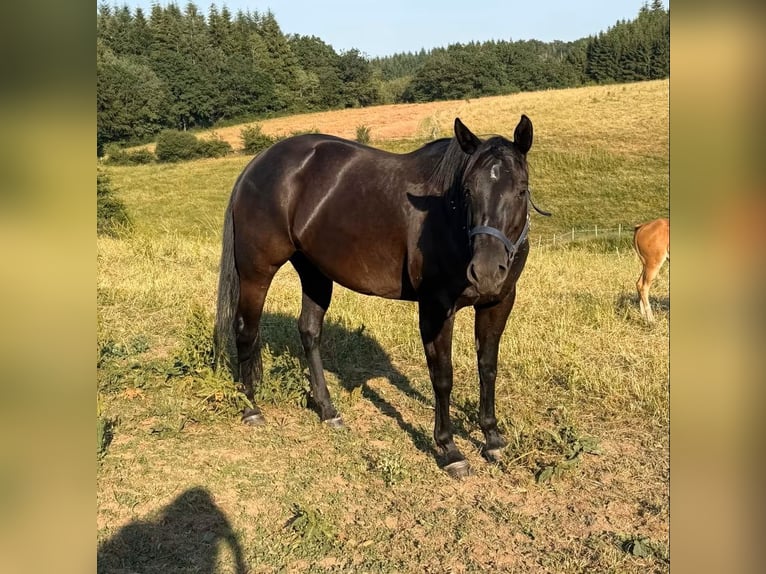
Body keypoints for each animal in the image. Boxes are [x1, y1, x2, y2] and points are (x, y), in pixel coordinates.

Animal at [214, 116, 550, 478]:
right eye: (468, 191)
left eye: (521, 189)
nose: (486, 270)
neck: (448, 218)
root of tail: (257, 164)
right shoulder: (435, 309)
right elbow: (442, 376)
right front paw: (449, 449)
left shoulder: (497, 303)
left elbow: (487, 368)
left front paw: (492, 439)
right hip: (256, 272)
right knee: (246, 330)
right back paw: (251, 409)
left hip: (315, 272)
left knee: (309, 332)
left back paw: (328, 411)